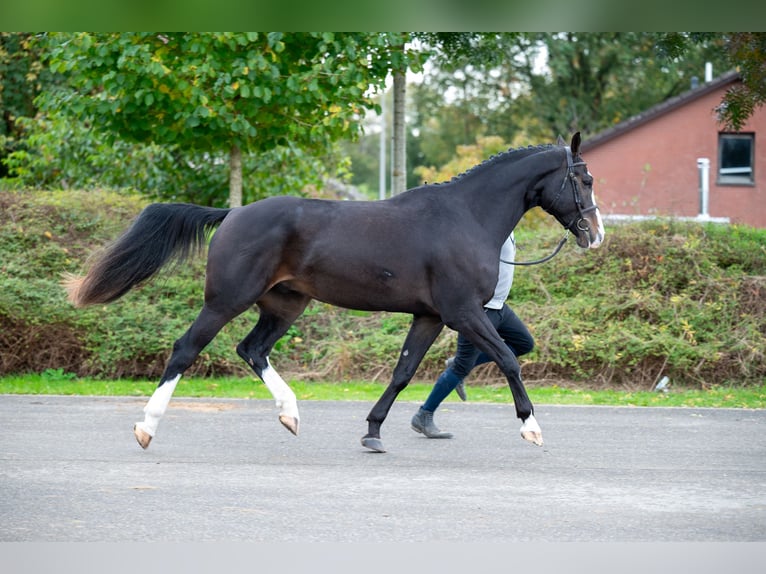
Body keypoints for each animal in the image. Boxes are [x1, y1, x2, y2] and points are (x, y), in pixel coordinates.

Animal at [66, 133, 608, 452]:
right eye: (583, 178)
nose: (595, 234)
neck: (466, 217)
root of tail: (232, 213)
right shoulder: (463, 313)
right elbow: (509, 359)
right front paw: (532, 428)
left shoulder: (430, 316)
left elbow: (403, 372)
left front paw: (372, 432)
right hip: (225, 301)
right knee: (186, 350)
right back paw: (146, 427)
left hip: (285, 304)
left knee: (252, 350)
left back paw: (290, 415)